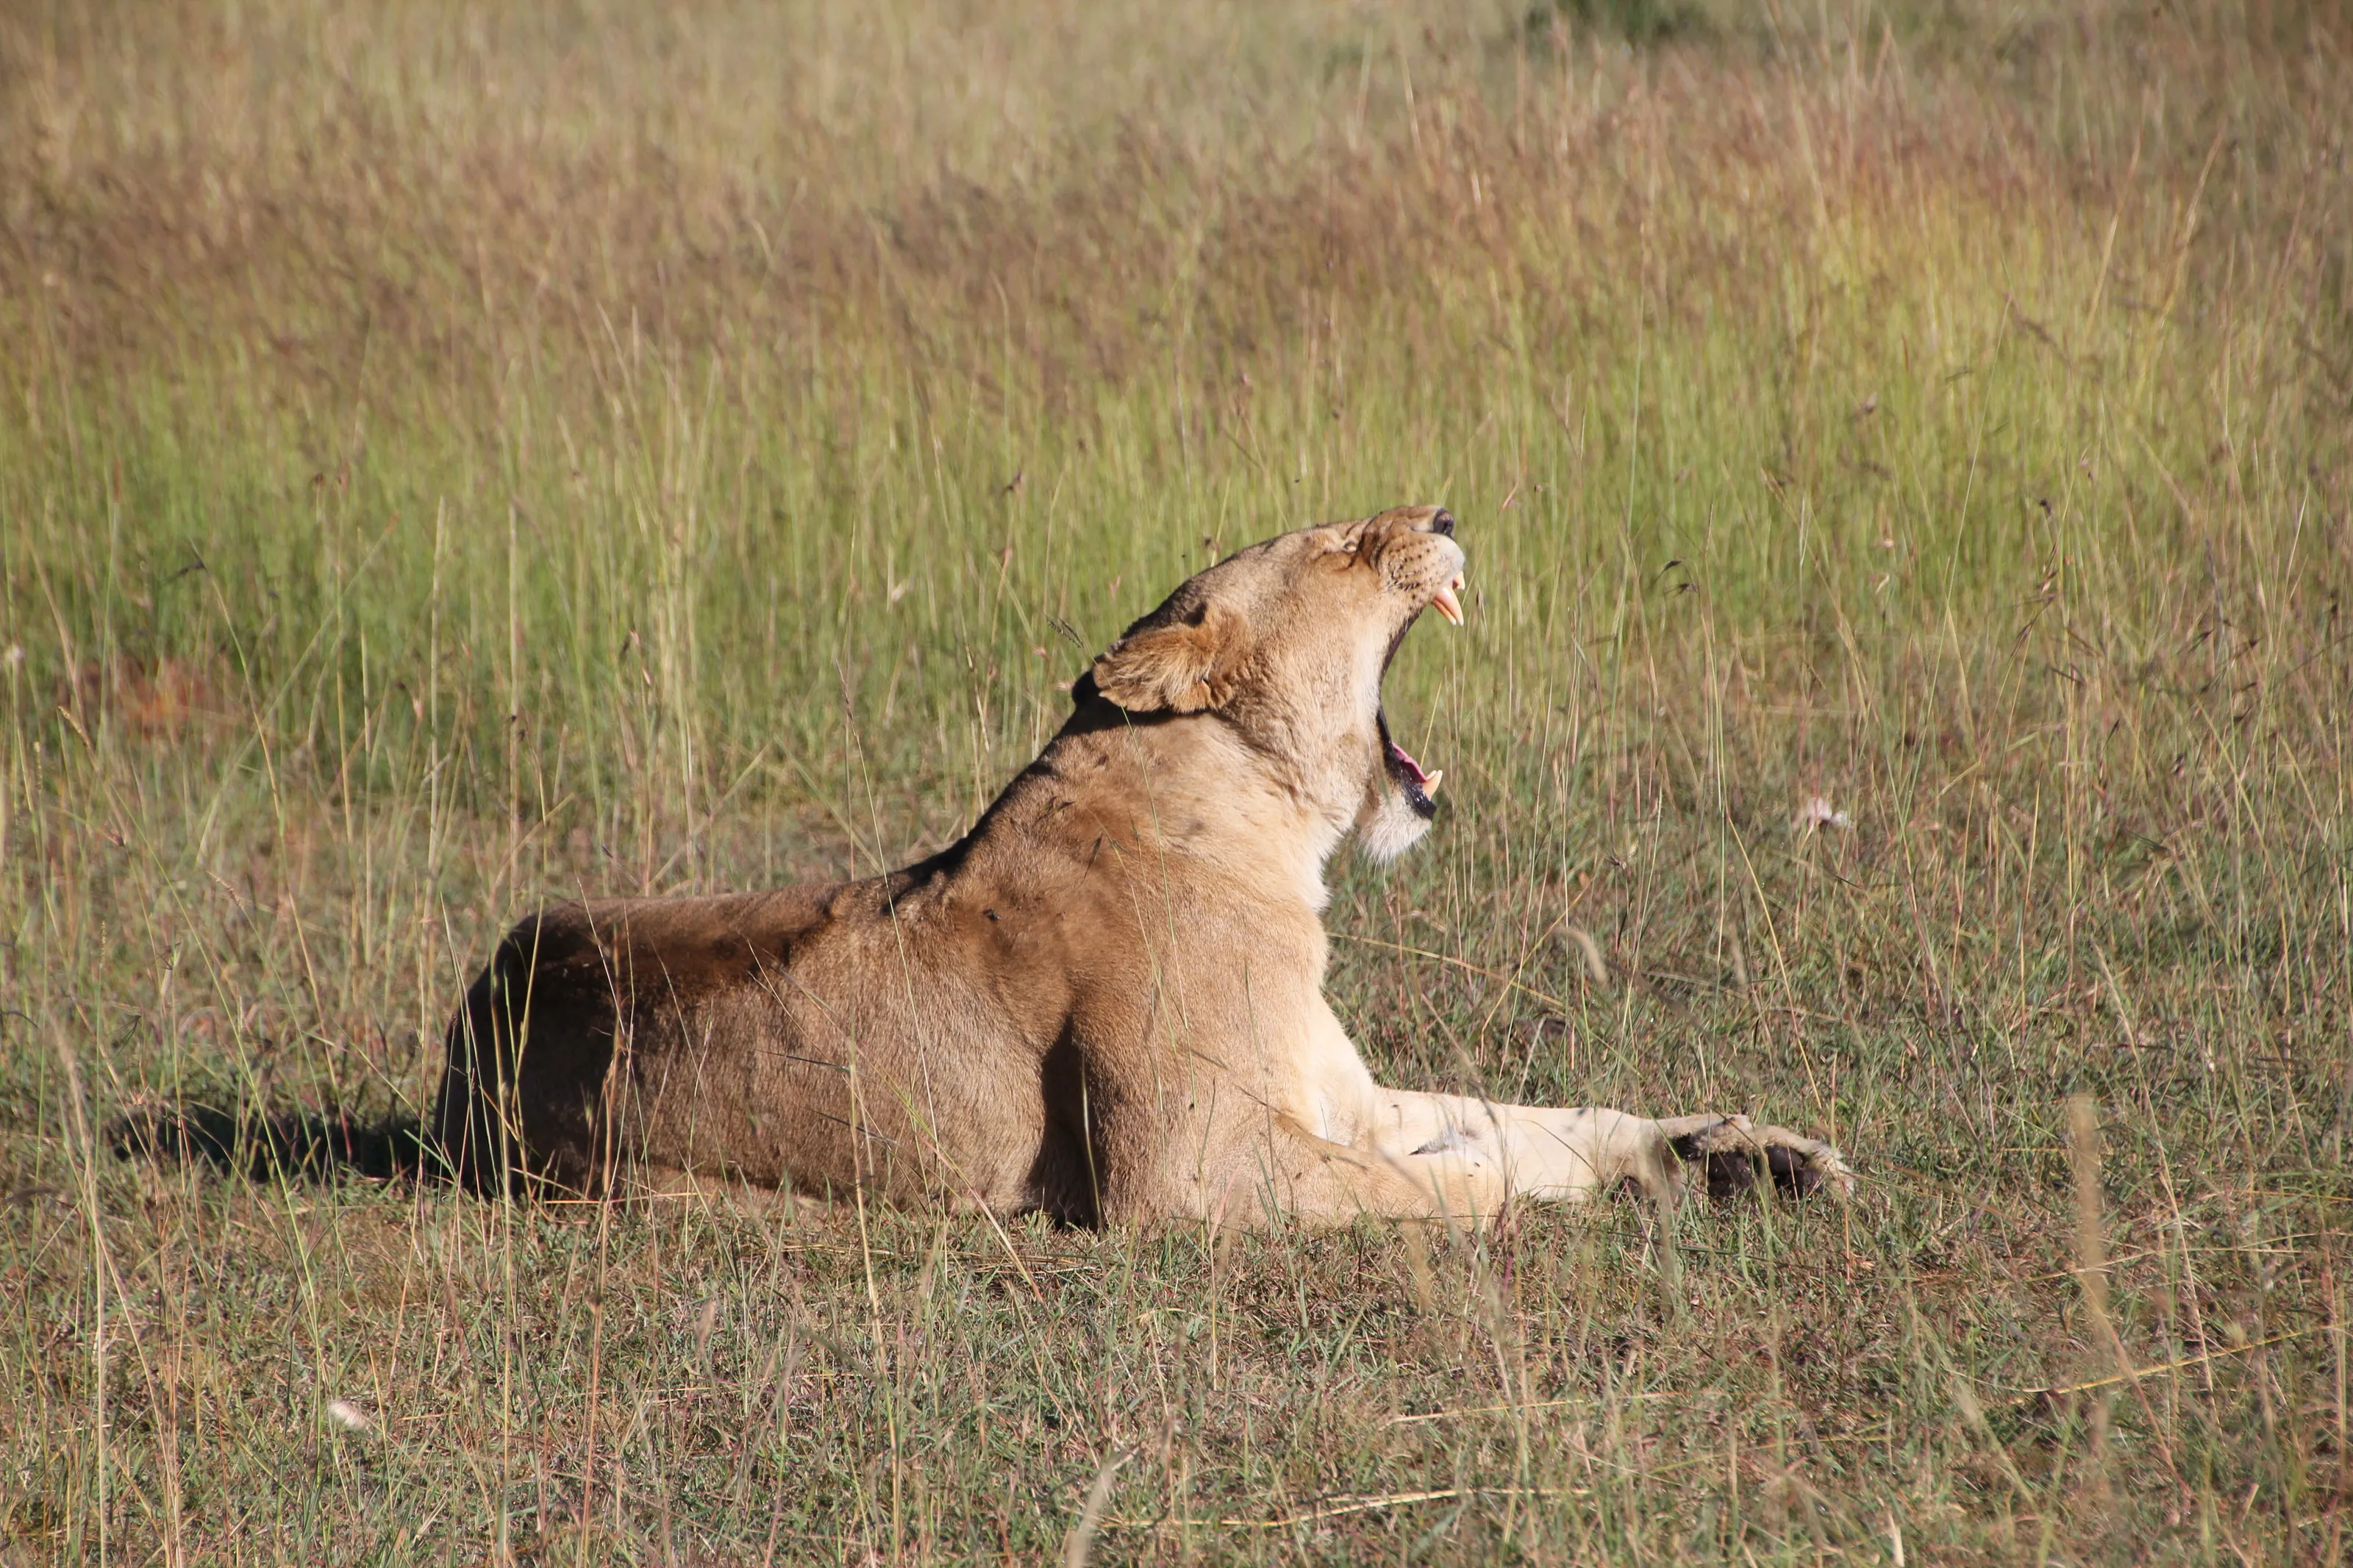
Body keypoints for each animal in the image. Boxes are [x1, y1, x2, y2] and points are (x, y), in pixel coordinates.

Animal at [431, 505, 1851, 1224]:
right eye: (1339, 544)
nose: (1446, 511)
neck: (1275, 831)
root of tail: (486, 995)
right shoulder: (1184, 1175)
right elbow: (1458, 1176)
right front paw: (1492, 1182)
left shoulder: (1341, 1098)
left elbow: (1548, 1120)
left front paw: (1744, 1151)